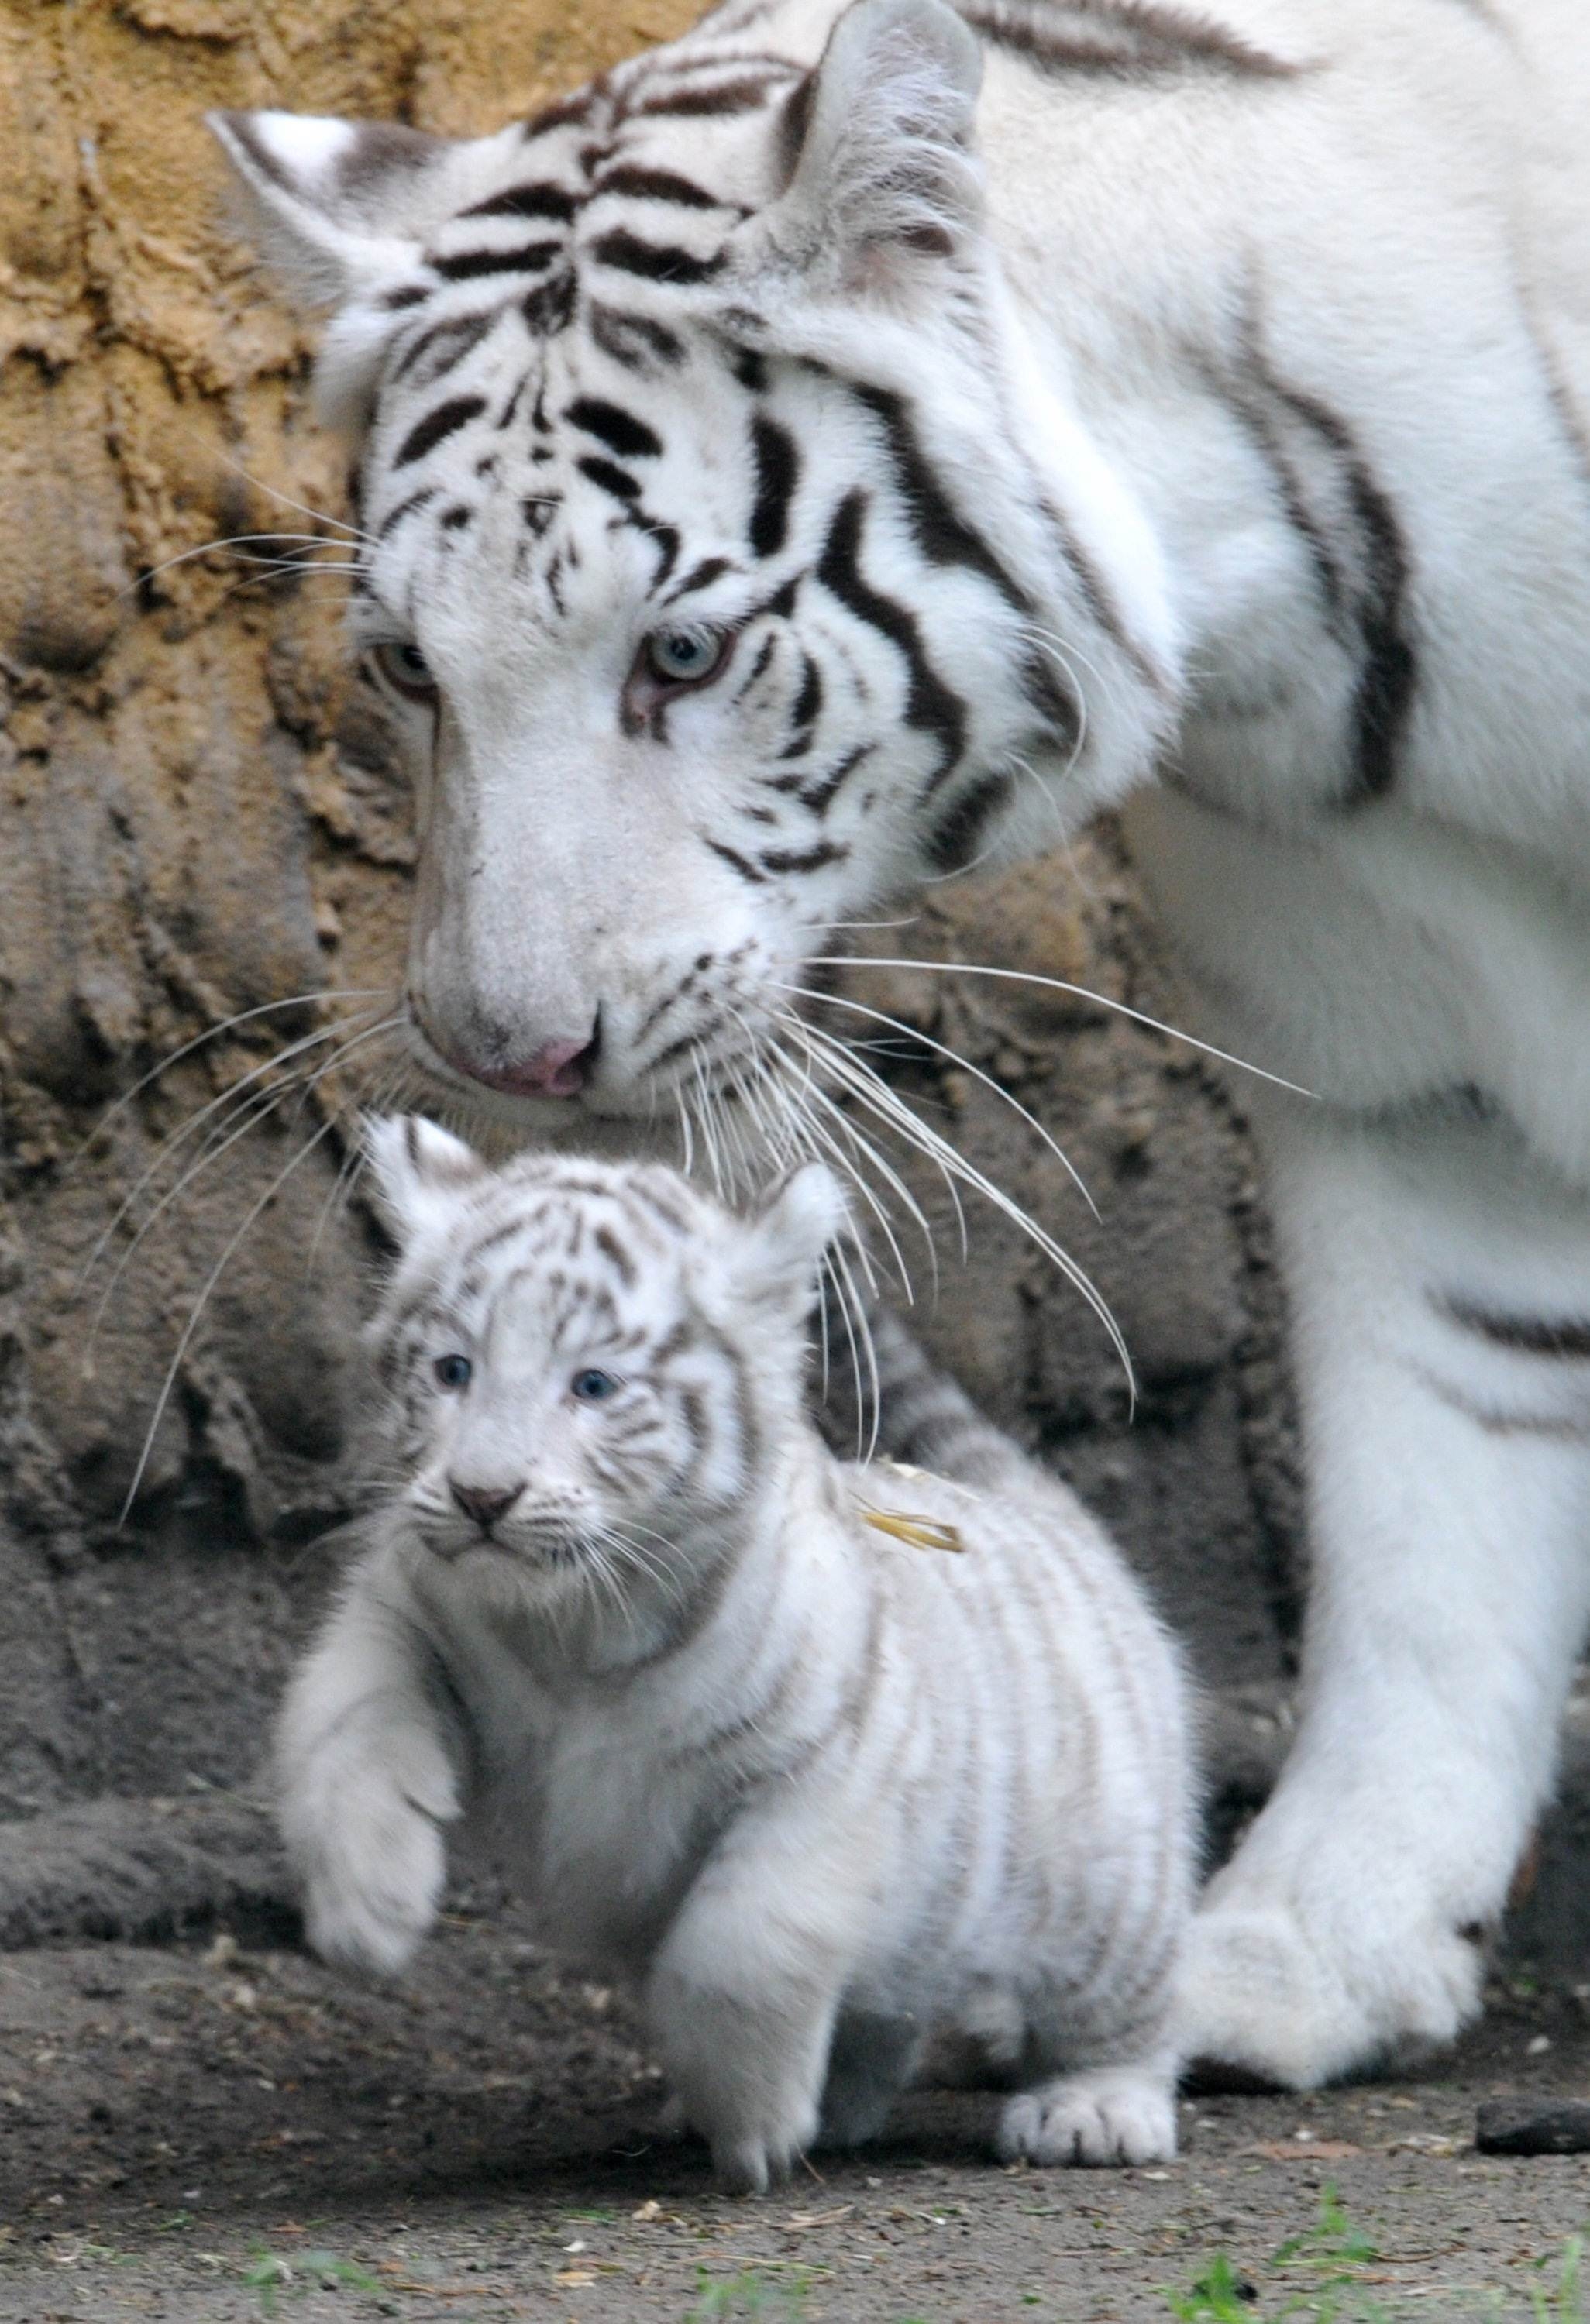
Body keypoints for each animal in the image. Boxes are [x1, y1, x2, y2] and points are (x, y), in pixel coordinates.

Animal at [212, 0, 1590, 2092]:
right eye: (407, 669)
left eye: (683, 656)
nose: (506, 1052)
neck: (1326, 638)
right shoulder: (1404, 1069)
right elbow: (1439, 1509)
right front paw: (1300, 1952)